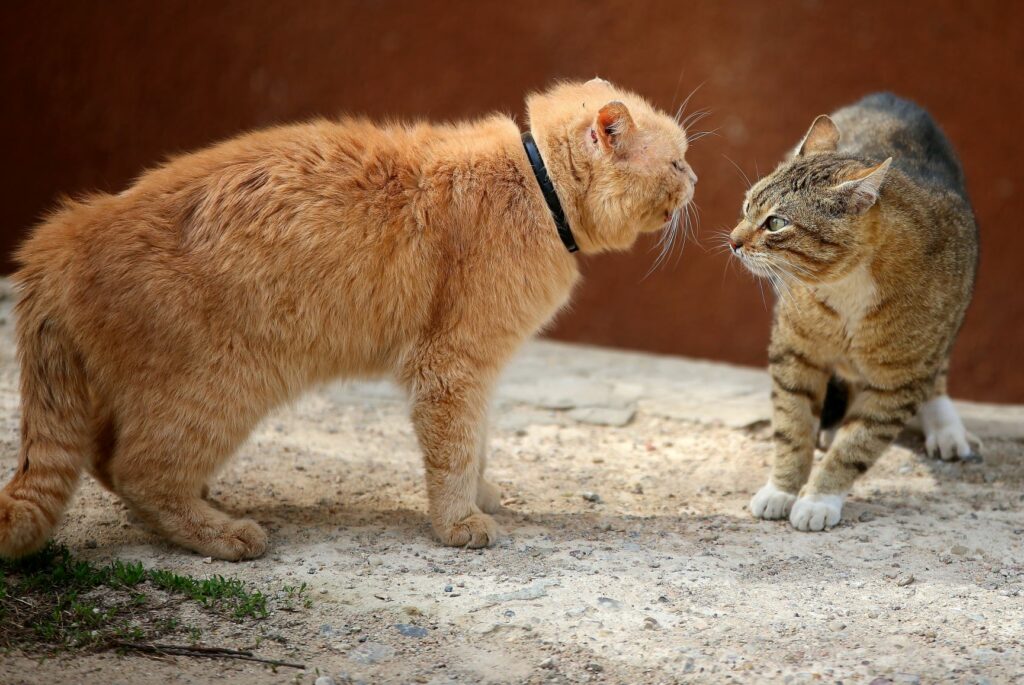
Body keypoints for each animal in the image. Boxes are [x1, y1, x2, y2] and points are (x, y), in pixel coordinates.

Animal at [0, 81, 696, 561]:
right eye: (677, 163)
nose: (696, 178)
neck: (533, 186)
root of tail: (59, 239)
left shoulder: (480, 371)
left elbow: (478, 445)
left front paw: (481, 495)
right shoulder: (452, 368)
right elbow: (454, 452)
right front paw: (460, 522)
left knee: (108, 462)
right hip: (217, 391)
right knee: (136, 469)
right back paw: (224, 534)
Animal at [733, 92, 978, 528]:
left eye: (775, 223)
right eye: (747, 207)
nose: (732, 241)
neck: (846, 285)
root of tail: (889, 97)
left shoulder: (899, 381)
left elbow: (857, 445)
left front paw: (819, 499)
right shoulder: (794, 352)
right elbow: (791, 426)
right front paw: (782, 489)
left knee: (937, 374)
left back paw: (945, 426)